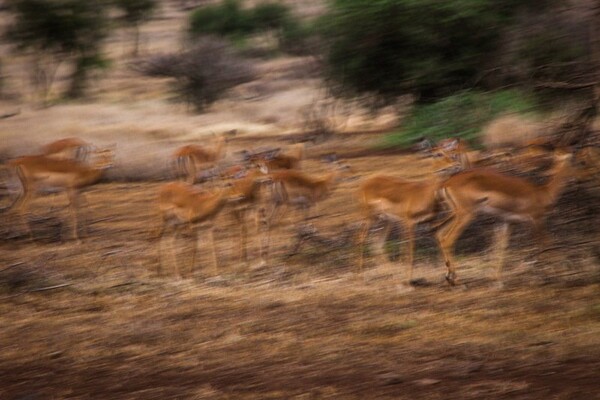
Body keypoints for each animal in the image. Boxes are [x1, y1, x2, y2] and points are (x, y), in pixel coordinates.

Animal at [436, 149, 580, 284]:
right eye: (573, 160)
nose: (579, 176)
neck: (542, 192)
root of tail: (447, 183)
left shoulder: (507, 221)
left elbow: (501, 246)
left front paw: (496, 279)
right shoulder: (535, 219)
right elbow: (545, 242)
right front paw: (562, 272)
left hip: (455, 213)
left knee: (439, 233)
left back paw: (449, 277)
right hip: (466, 214)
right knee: (448, 239)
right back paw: (456, 280)